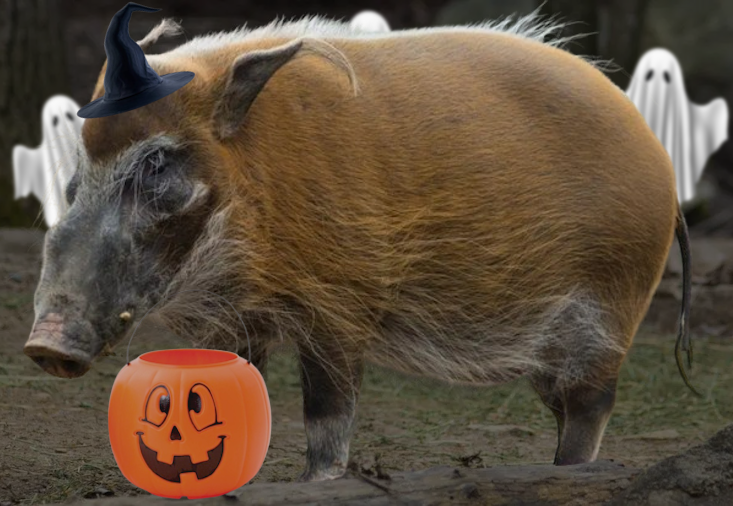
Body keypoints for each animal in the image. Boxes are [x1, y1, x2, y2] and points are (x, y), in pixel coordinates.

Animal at [24, 12, 693, 482]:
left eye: (158, 163)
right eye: (78, 173)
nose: (44, 345)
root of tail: (664, 168)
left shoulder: (340, 305)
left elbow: (327, 415)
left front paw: (319, 482)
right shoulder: (237, 320)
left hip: (608, 316)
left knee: (591, 408)